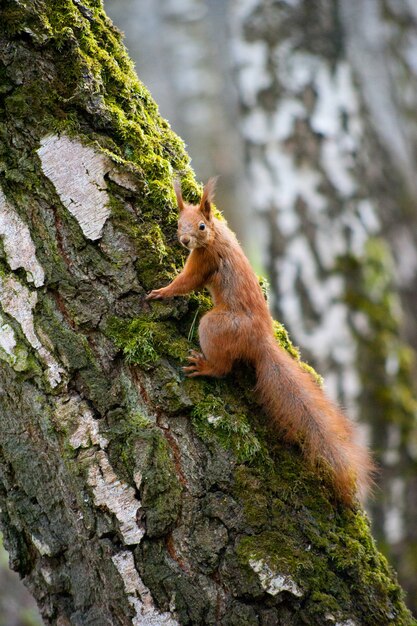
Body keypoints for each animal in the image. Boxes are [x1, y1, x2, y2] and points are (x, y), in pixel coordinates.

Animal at [147, 179, 374, 502]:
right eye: (180, 223)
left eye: (201, 226)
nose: (184, 240)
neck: (216, 236)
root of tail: (261, 341)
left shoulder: (205, 260)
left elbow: (187, 282)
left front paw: (162, 291)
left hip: (215, 326)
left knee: (223, 367)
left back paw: (204, 367)